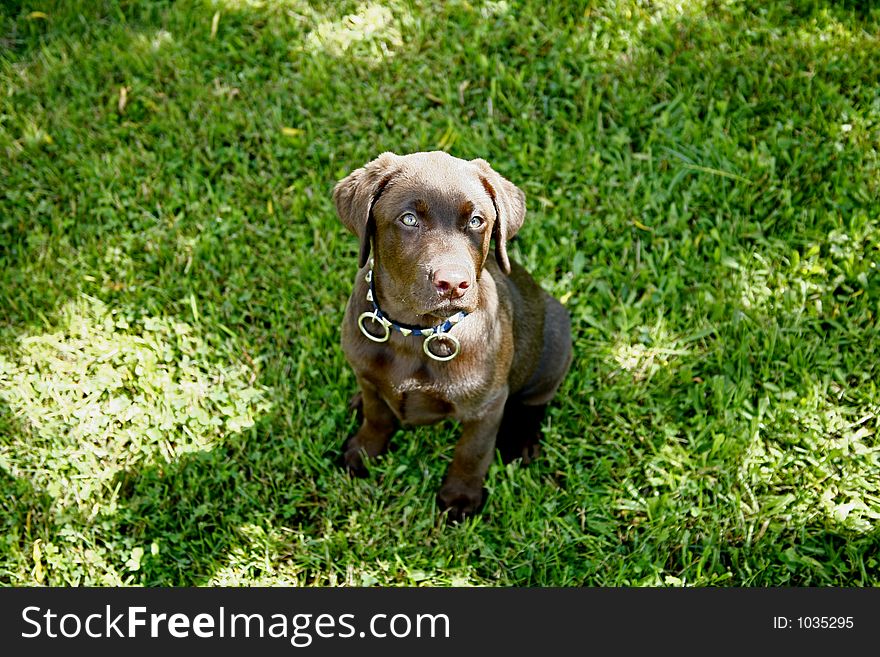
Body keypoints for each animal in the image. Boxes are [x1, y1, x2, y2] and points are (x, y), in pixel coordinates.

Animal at [334, 151, 576, 520]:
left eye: (476, 221)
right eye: (408, 219)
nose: (453, 283)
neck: (415, 331)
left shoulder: (487, 405)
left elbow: (472, 451)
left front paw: (461, 497)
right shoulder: (366, 374)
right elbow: (377, 417)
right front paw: (362, 453)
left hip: (555, 347)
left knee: (537, 400)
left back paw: (522, 441)